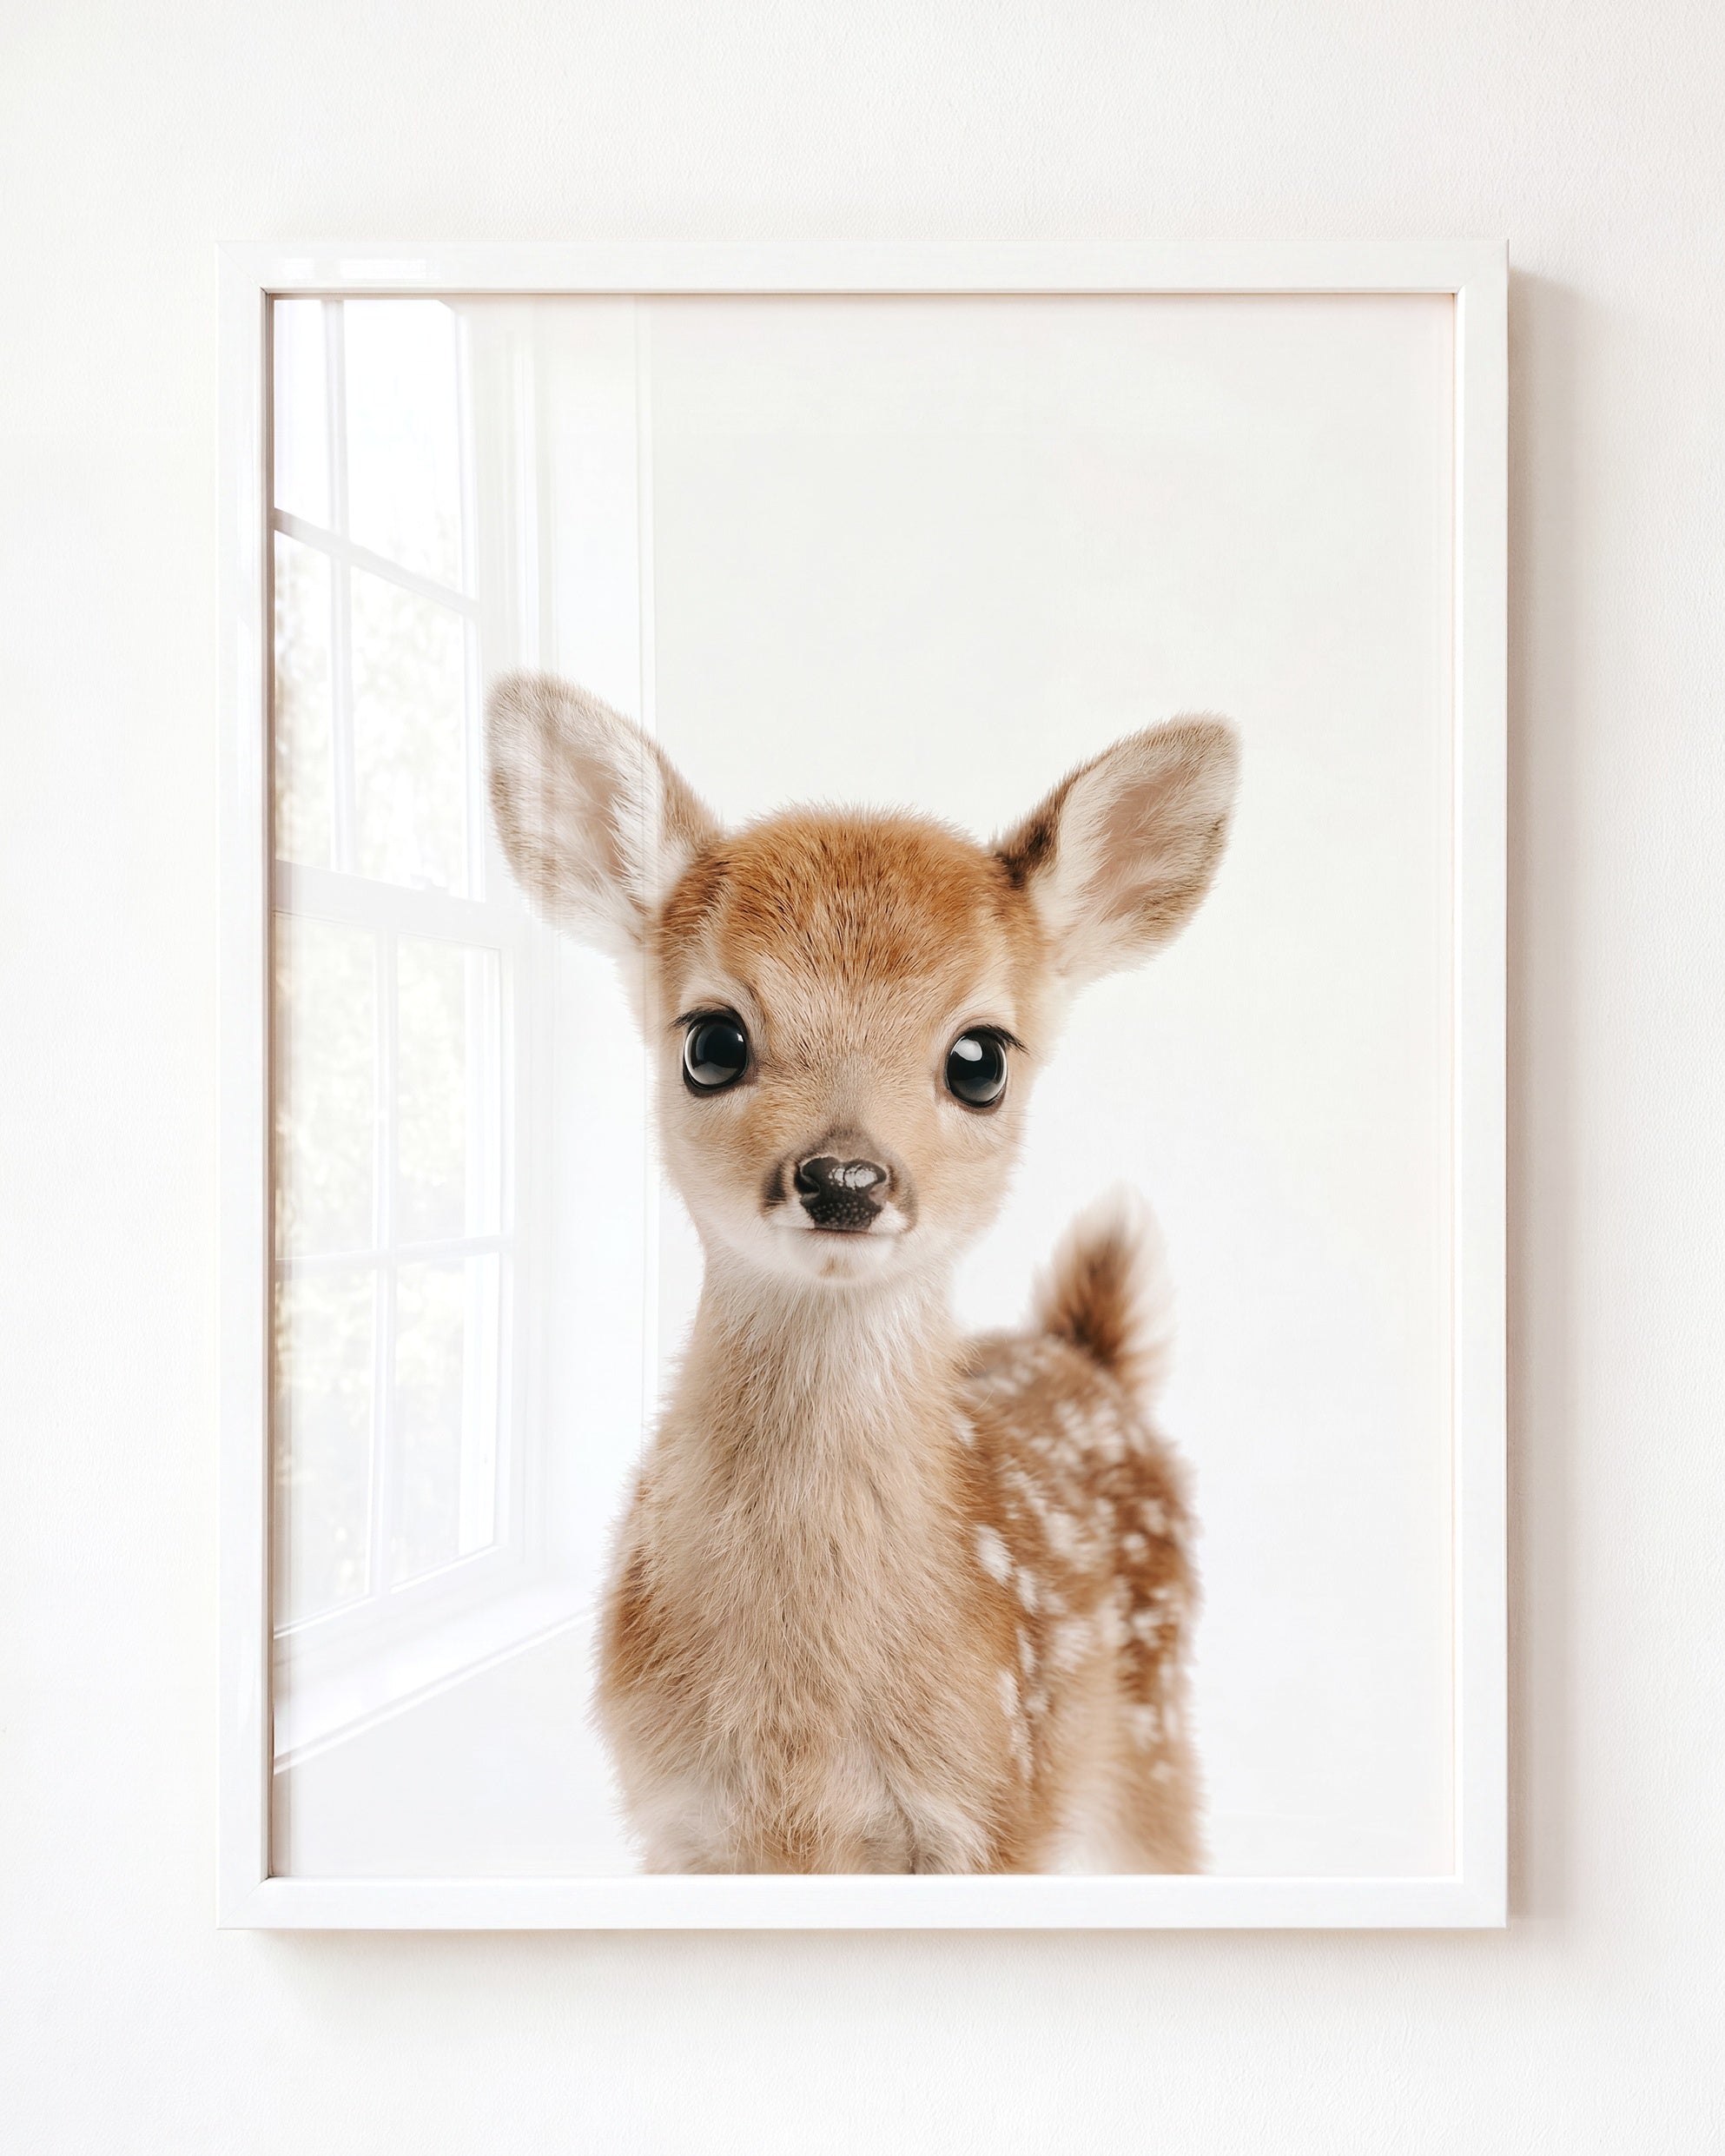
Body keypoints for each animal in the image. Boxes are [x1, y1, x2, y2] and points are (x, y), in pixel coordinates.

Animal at [486, 672, 1238, 1873]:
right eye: (711, 1041)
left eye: (981, 1058)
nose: (844, 1177)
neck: (801, 1742)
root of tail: (1088, 1354)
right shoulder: (676, 1819)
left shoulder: (993, 1806)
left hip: (1150, 1735)